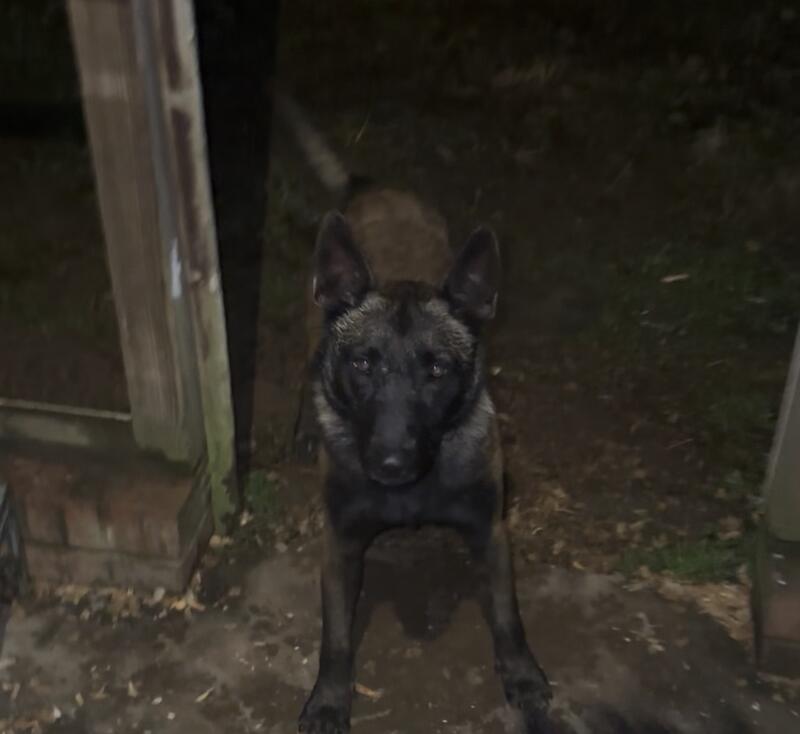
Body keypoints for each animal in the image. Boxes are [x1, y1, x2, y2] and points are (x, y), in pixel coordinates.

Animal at [273, 92, 552, 734]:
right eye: (363, 364)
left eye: (437, 369)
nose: (391, 463)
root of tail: (373, 186)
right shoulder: (340, 546)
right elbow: (336, 640)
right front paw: (329, 698)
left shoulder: (491, 534)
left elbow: (508, 617)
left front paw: (522, 675)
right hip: (308, 330)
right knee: (304, 370)